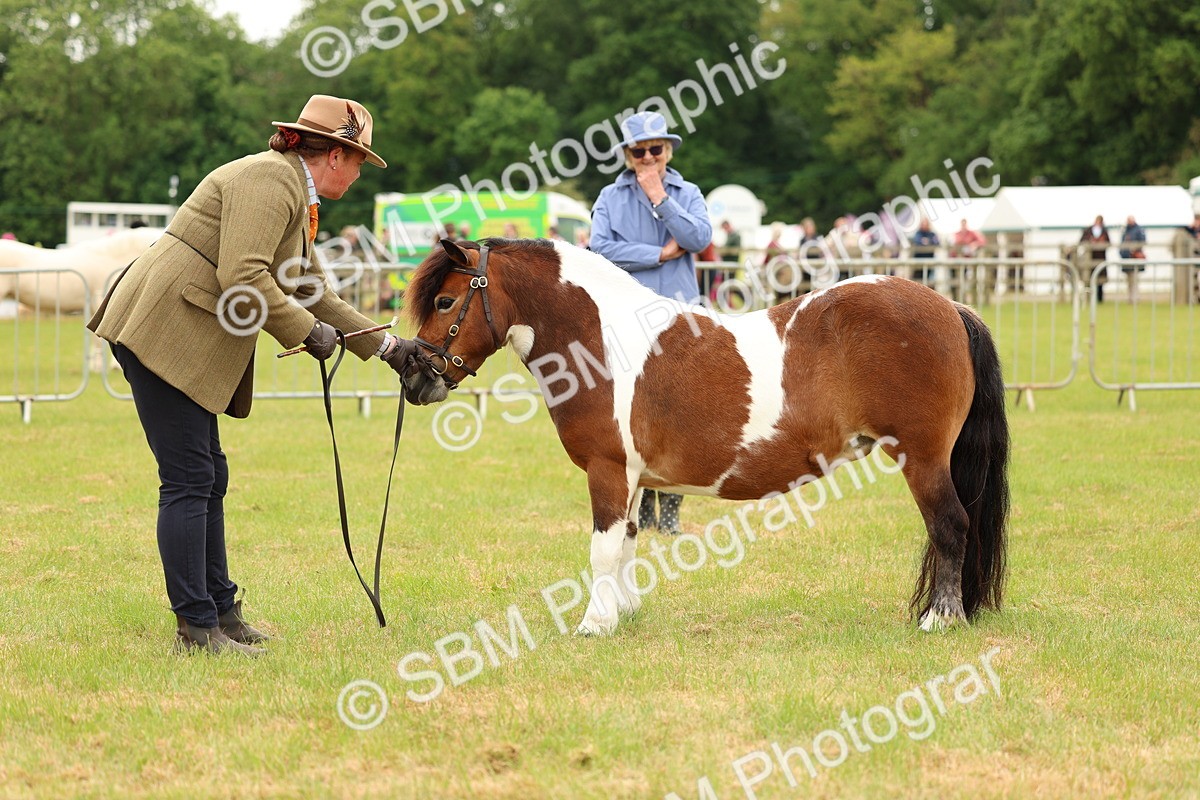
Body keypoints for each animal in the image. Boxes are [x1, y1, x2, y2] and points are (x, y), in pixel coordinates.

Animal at [403, 238, 1010, 636]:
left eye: (444, 302)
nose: (413, 377)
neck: (601, 340)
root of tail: (949, 306)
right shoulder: (633, 477)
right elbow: (628, 542)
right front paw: (624, 613)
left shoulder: (607, 470)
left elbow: (603, 549)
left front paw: (594, 623)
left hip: (923, 459)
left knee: (950, 526)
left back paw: (940, 619)